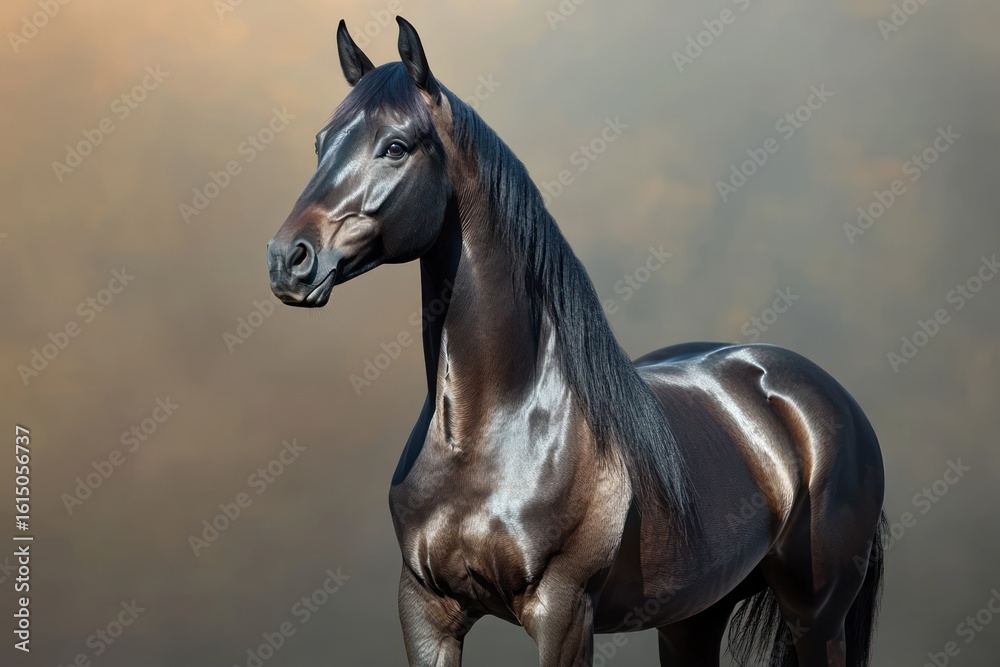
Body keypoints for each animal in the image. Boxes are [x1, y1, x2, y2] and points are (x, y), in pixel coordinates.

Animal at [266, 17, 886, 667]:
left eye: (395, 146)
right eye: (320, 144)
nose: (289, 259)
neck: (490, 432)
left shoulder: (561, 613)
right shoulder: (426, 611)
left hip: (816, 616)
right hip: (691, 616)